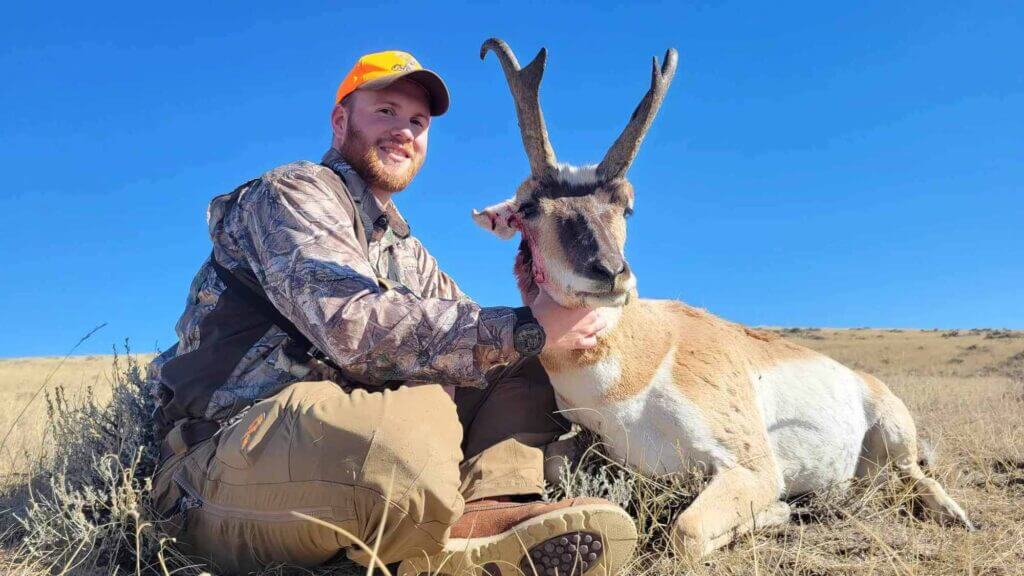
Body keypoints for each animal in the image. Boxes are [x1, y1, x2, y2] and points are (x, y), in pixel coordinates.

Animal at [473, 38, 974, 558]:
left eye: (626, 205)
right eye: (529, 207)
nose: (610, 272)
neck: (644, 361)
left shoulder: (753, 468)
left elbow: (686, 532)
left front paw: (779, 511)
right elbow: (551, 462)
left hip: (893, 431)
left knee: (913, 473)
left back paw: (951, 514)